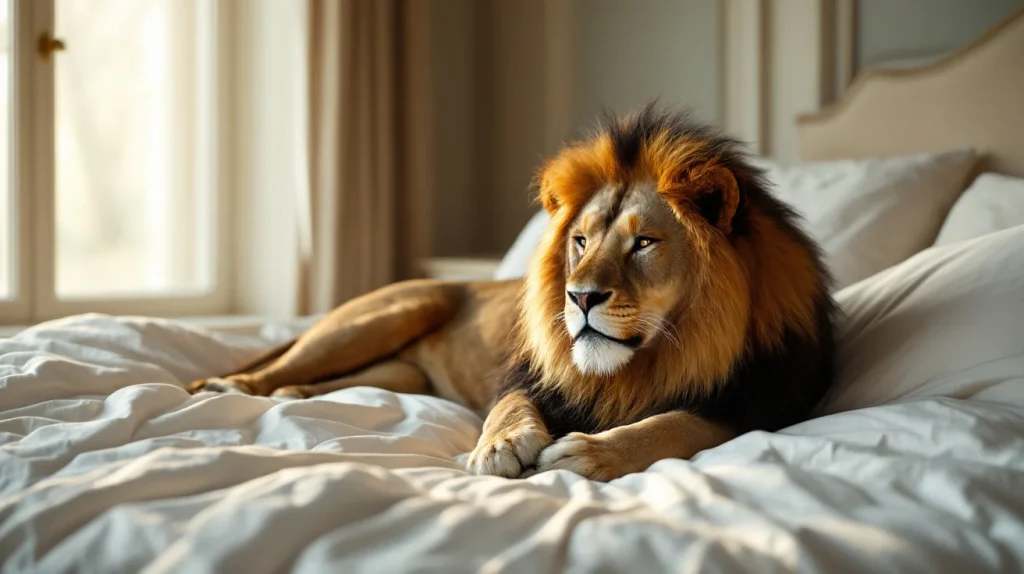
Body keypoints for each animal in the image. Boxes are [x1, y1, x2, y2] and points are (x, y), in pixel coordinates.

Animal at [189, 106, 836, 482]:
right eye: (580, 241)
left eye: (644, 243)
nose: (579, 298)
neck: (648, 361)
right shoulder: (527, 376)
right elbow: (508, 406)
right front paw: (499, 445)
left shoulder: (762, 405)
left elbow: (676, 425)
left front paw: (590, 453)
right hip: (387, 314)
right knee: (281, 365)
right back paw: (231, 385)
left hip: (400, 372)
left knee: (327, 382)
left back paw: (289, 396)